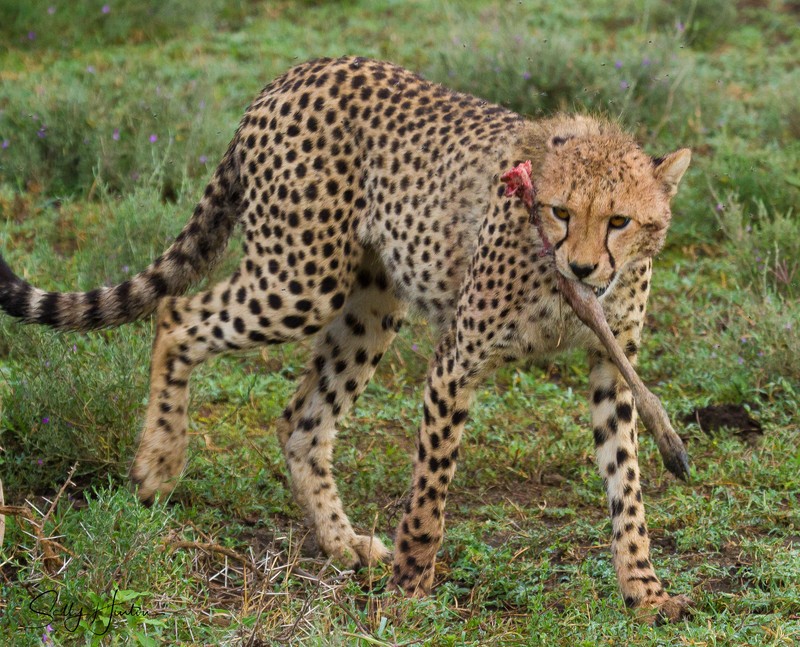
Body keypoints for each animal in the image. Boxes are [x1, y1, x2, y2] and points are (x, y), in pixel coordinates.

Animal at [0, 56, 693, 621]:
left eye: (620, 221)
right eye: (560, 212)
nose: (582, 268)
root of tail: (296, 72)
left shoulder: (612, 371)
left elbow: (626, 485)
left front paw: (645, 590)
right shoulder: (457, 363)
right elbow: (430, 489)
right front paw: (411, 588)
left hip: (369, 304)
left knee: (301, 421)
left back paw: (341, 541)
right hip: (300, 281)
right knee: (177, 315)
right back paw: (159, 463)